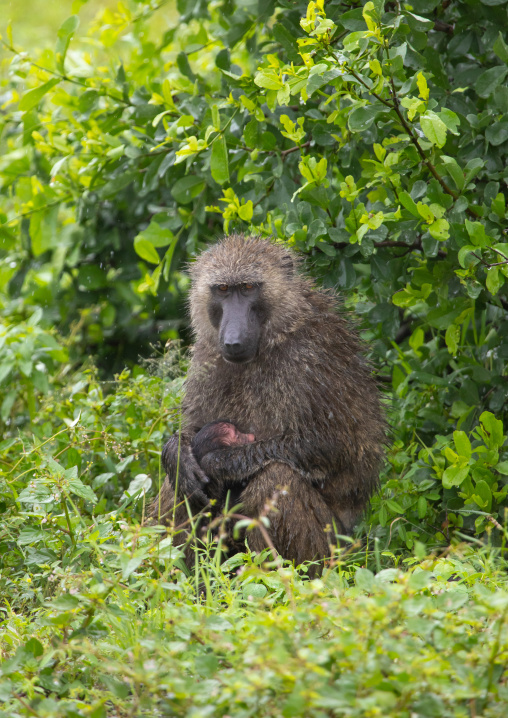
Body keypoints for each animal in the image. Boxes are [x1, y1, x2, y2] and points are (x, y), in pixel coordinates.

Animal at [148, 235, 385, 573]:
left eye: (248, 287)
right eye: (223, 289)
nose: (233, 341)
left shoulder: (312, 357)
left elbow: (334, 445)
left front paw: (218, 461)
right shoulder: (207, 355)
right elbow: (192, 434)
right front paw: (178, 453)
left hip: (335, 551)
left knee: (276, 477)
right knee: (177, 486)